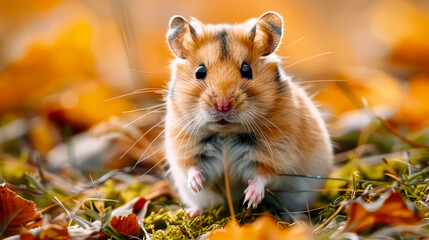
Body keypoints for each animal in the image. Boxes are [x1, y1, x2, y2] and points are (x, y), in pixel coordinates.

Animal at [162, 11, 332, 218]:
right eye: (199, 72)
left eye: (246, 70)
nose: (223, 106)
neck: (226, 133)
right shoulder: (184, 145)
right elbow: (190, 167)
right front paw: (196, 184)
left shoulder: (279, 152)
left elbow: (265, 175)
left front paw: (250, 198)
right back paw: (192, 213)